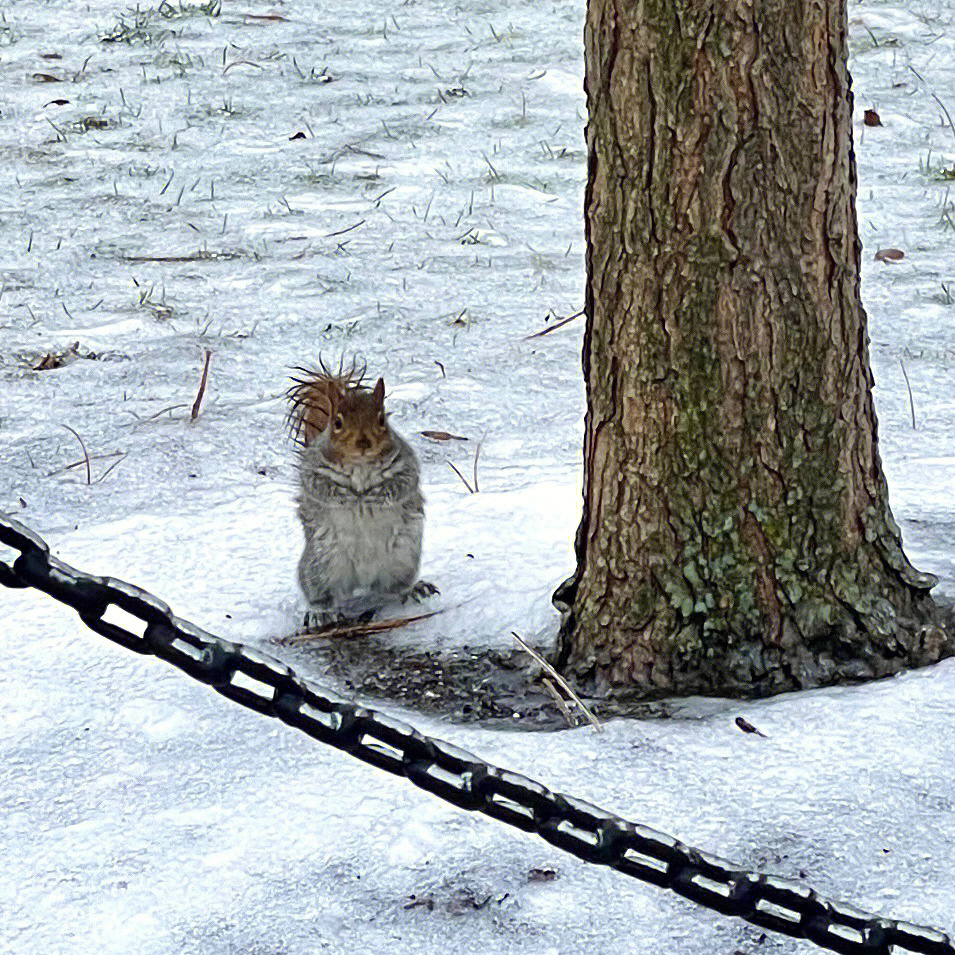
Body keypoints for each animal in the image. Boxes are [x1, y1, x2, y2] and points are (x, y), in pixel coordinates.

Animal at [282, 362, 436, 632]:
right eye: (337, 422)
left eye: (382, 419)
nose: (363, 442)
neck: (360, 465)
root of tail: (363, 580)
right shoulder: (313, 469)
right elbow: (320, 487)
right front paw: (349, 497)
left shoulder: (405, 463)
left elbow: (402, 484)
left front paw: (374, 496)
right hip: (320, 565)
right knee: (320, 593)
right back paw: (321, 612)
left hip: (403, 559)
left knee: (394, 587)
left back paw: (413, 590)